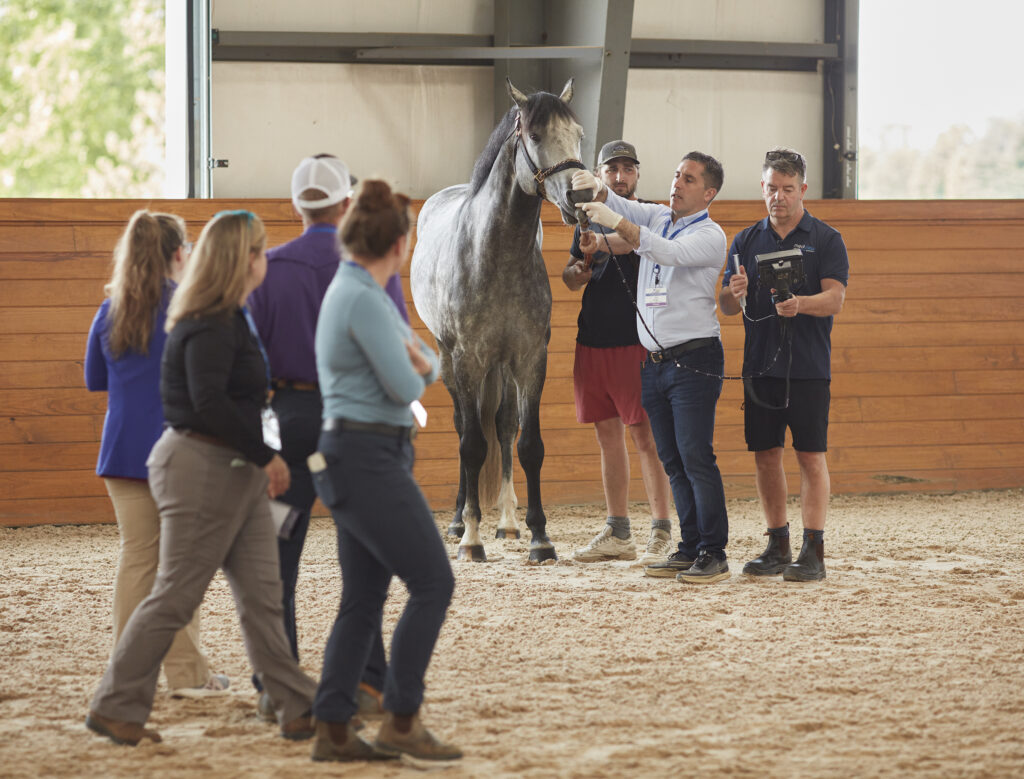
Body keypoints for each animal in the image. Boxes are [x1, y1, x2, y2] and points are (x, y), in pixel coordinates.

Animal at [410, 78, 586, 563]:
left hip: (503, 367)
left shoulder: (529, 358)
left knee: (505, 428)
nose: (581, 196)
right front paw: (471, 538)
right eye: (537, 135)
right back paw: (458, 521)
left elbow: (529, 445)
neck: (498, 254)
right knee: (462, 428)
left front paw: (540, 537)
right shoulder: (469, 360)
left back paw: (507, 522)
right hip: (451, 361)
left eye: (578, 133)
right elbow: (472, 444)